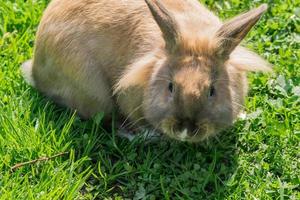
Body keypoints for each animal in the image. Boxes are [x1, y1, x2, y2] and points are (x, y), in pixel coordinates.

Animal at [21, 0, 270, 142]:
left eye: (212, 91)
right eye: (170, 87)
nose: (186, 128)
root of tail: (35, 70)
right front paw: (149, 134)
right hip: (94, 94)